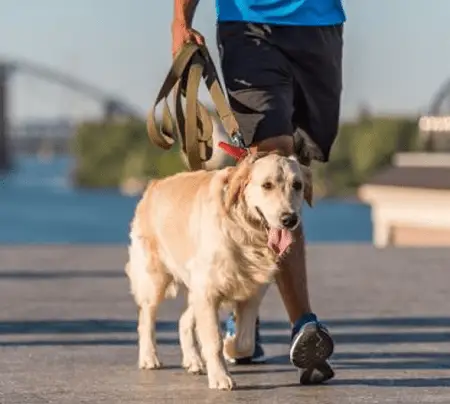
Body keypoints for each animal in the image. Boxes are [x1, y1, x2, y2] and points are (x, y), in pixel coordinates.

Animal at [124, 150, 312, 390]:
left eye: (297, 185)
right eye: (267, 185)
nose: (289, 219)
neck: (245, 230)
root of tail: (153, 185)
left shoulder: (251, 292)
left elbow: (245, 341)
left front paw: (231, 347)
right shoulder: (208, 289)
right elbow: (213, 339)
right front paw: (220, 377)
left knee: (183, 320)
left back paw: (193, 361)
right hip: (155, 279)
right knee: (146, 317)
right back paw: (149, 357)